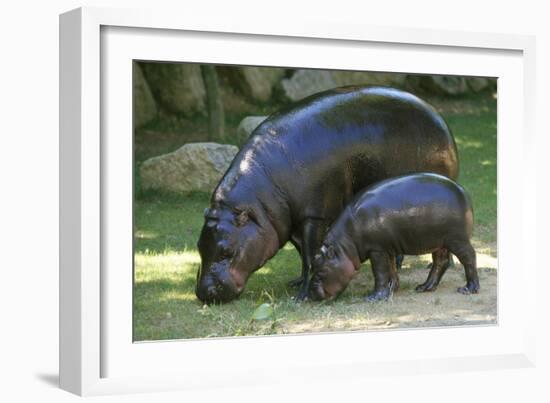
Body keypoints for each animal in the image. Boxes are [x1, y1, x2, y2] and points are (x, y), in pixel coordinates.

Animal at [196, 87, 460, 304]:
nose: (203, 293)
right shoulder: (291, 222)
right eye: (199, 246)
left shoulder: (314, 216)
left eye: (226, 251)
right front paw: (296, 283)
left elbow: (309, 255)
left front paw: (301, 296)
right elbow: (302, 253)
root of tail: (439, 117)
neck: (259, 203)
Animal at [310, 174, 478, 304]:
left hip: (457, 240)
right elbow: (390, 269)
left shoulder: (376, 249)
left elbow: (380, 273)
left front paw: (373, 298)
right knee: (441, 262)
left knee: (469, 257)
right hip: (439, 242)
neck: (344, 245)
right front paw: (393, 289)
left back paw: (468, 289)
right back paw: (424, 287)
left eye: (320, 270)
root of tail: (462, 190)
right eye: (313, 264)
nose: (310, 295)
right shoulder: (387, 248)